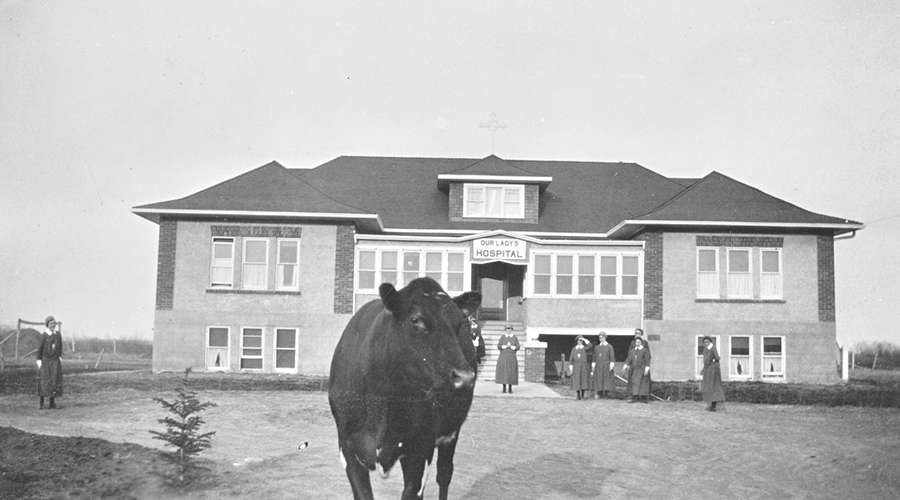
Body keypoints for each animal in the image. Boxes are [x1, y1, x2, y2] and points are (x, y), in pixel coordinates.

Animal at [328, 278, 482, 500]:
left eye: (460, 322)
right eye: (415, 319)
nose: (465, 377)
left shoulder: (420, 449)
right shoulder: (348, 448)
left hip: (452, 432)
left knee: (444, 474)